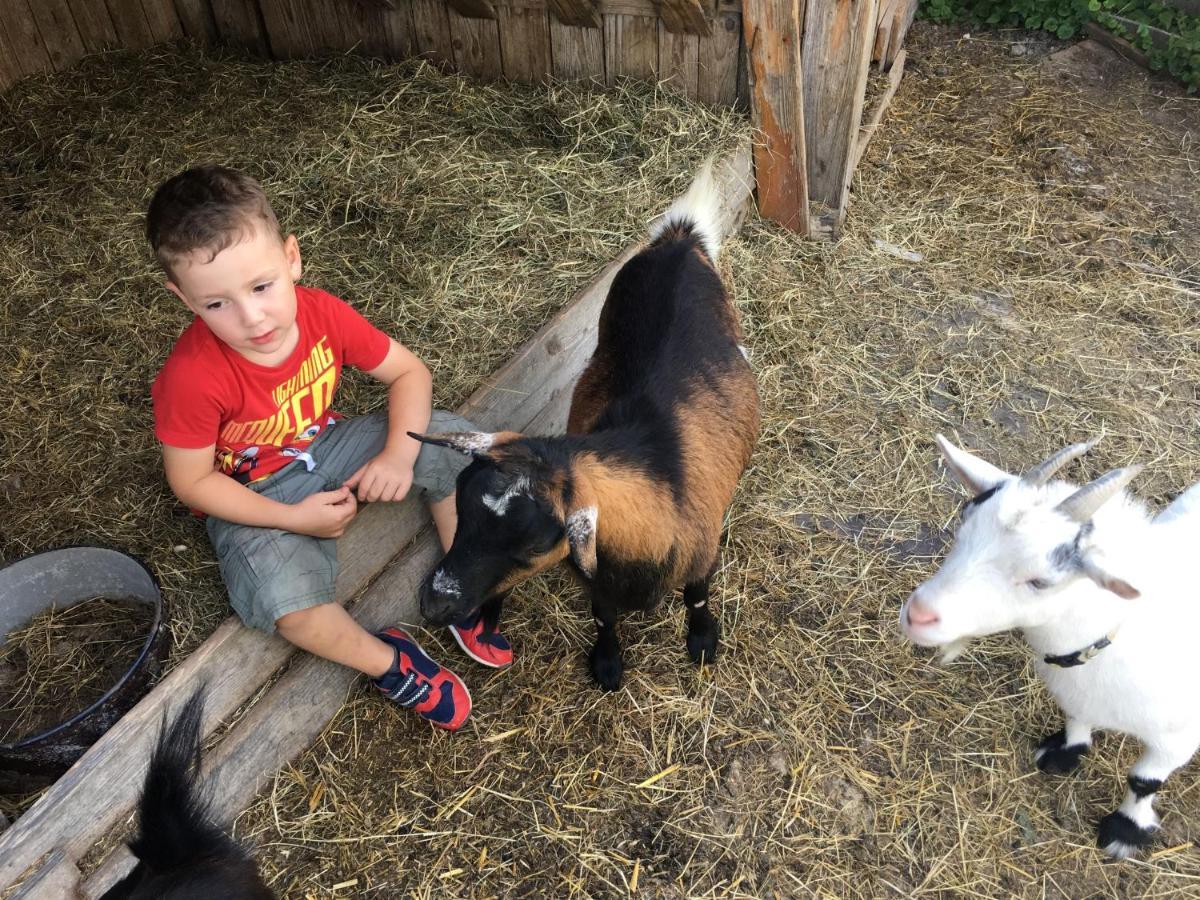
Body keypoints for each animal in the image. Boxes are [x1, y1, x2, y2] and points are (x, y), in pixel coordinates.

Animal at [412, 160, 758, 691]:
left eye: (535, 542)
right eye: (460, 506)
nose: (433, 604)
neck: (661, 479)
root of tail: (680, 239)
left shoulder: (701, 553)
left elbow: (697, 595)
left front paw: (702, 640)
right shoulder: (597, 577)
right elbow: (603, 616)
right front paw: (607, 662)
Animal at [902, 436, 1200, 859]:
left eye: (1039, 581)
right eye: (963, 528)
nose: (919, 614)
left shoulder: (1177, 738)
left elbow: (1143, 782)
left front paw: (1124, 833)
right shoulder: (1077, 696)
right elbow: (1075, 718)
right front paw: (1063, 752)